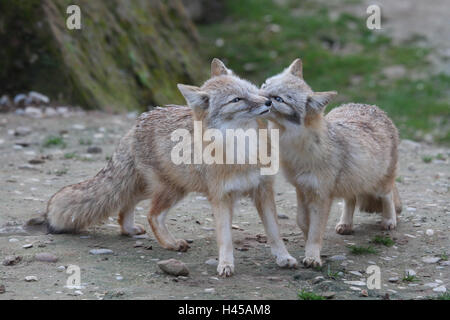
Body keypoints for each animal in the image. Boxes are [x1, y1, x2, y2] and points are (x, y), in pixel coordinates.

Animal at [26, 58, 298, 276]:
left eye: (252, 90)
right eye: (237, 99)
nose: (268, 102)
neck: (243, 151)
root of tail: (136, 124)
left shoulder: (263, 190)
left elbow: (274, 232)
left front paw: (284, 258)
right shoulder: (220, 197)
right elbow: (225, 238)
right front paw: (226, 265)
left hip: (154, 187)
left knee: (125, 204)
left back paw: (128, 229)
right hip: (171, 190)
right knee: (152, 214)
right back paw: (170, 243)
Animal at [262, 58, 402, 268]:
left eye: (278, 99)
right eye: (264, 85)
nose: (258, 97)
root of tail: (372, 106)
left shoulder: (321, 195)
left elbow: (316, 230)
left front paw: (313, 256)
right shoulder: (301, 188)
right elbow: (303, 221)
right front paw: (307, 243)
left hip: (379, 183)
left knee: (388, 195)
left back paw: (389, 220)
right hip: (352, 181)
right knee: (351, 200)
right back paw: (346, 224)